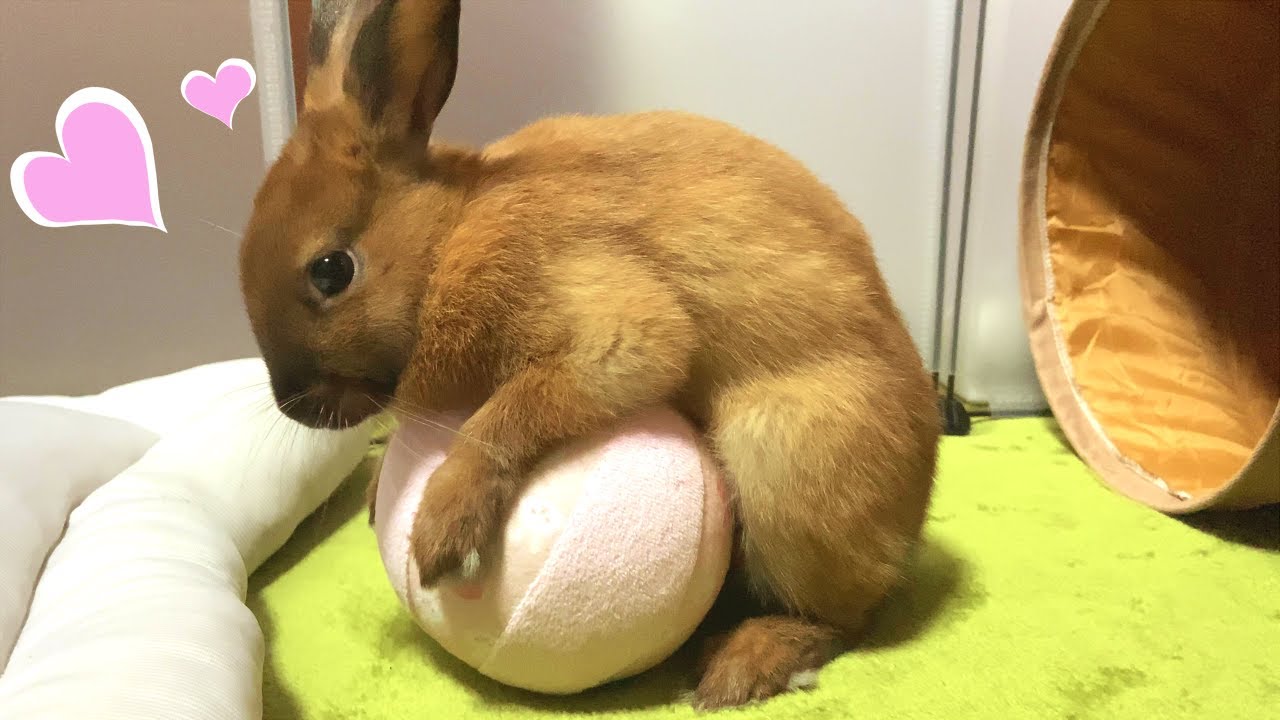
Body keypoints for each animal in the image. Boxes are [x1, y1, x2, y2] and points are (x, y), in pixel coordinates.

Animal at [238, 0, 939, 710]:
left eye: (331, 271)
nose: (293, 408)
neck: (448, 239)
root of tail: (912, 515)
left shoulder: (613, 332)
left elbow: (508, 414)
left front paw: (440, 530)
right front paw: (378, 491)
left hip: (786, 463)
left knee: (841, 620)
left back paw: (742, 666)